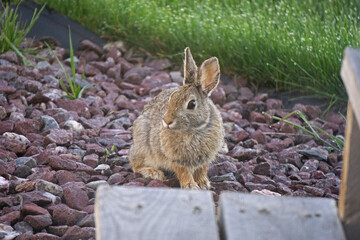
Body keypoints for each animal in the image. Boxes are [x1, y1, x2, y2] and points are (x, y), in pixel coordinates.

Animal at [129, 47, 225, 189]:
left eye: (192, 104)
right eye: (171, 98)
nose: (167, 121)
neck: (193, 130)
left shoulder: (205, 158)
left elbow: (201, 170)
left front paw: (203, 184)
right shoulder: (175, 158)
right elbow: (183, 172)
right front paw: (191, 186)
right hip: (144, 145)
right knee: (135, 164)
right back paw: (153, 173)